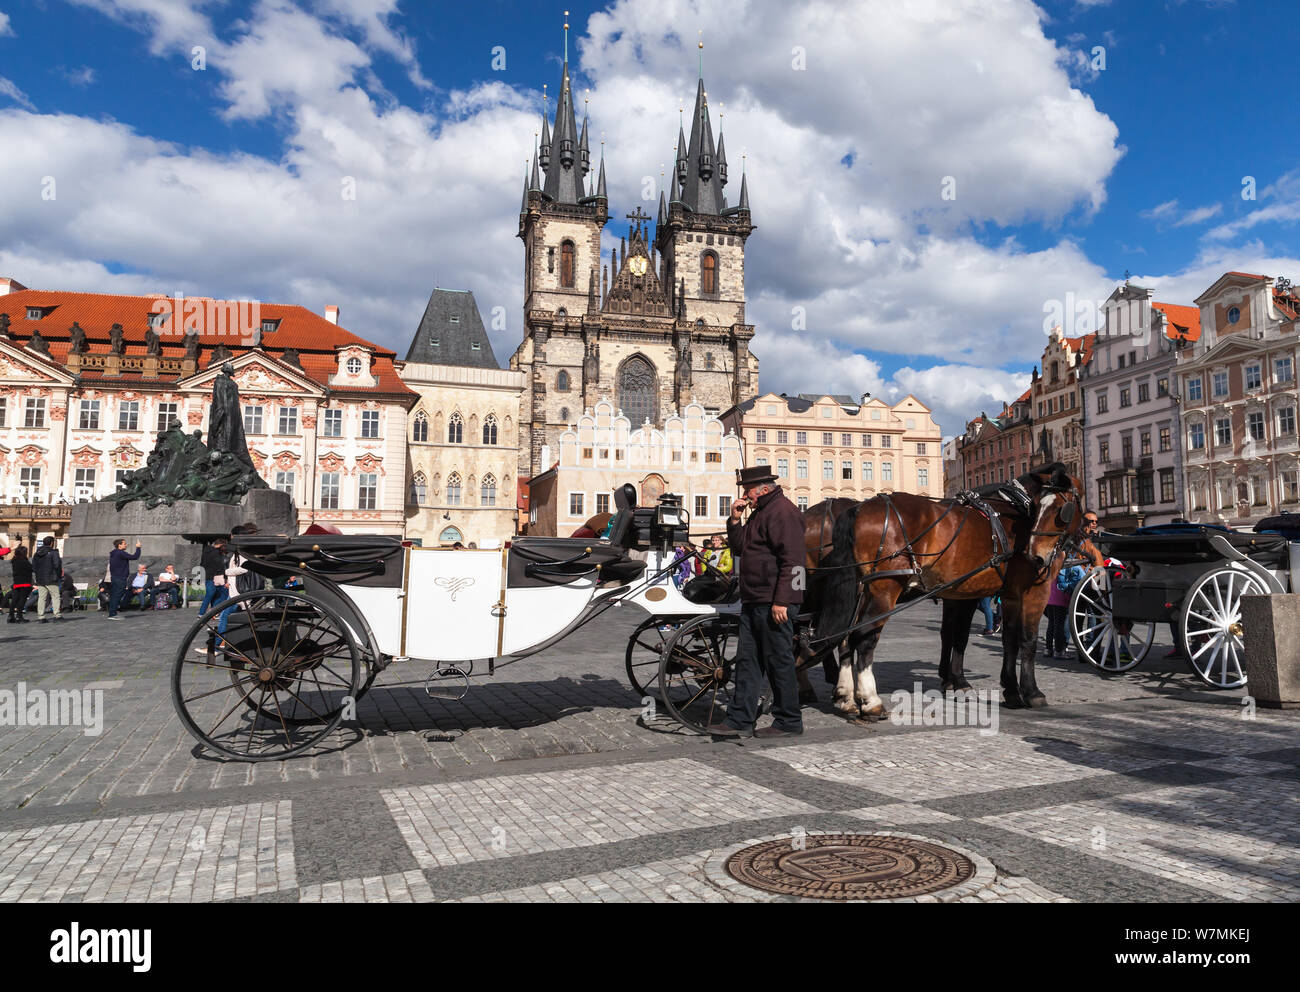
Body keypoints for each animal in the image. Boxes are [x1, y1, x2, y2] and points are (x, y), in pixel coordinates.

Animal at [816, 462, 1081, 712]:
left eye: (1059, 510)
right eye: (1041, 508)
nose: (1035, 557)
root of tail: (858, 508)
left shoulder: (996, 594)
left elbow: (997, 638)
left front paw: (1007, 690)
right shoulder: (1033, 591)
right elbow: (1025, 639)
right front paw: (1031, 692)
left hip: (861, 591)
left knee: (845, 637)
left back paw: (845, 696)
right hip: (884, 590)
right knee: (864, 636)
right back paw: (870, 701)